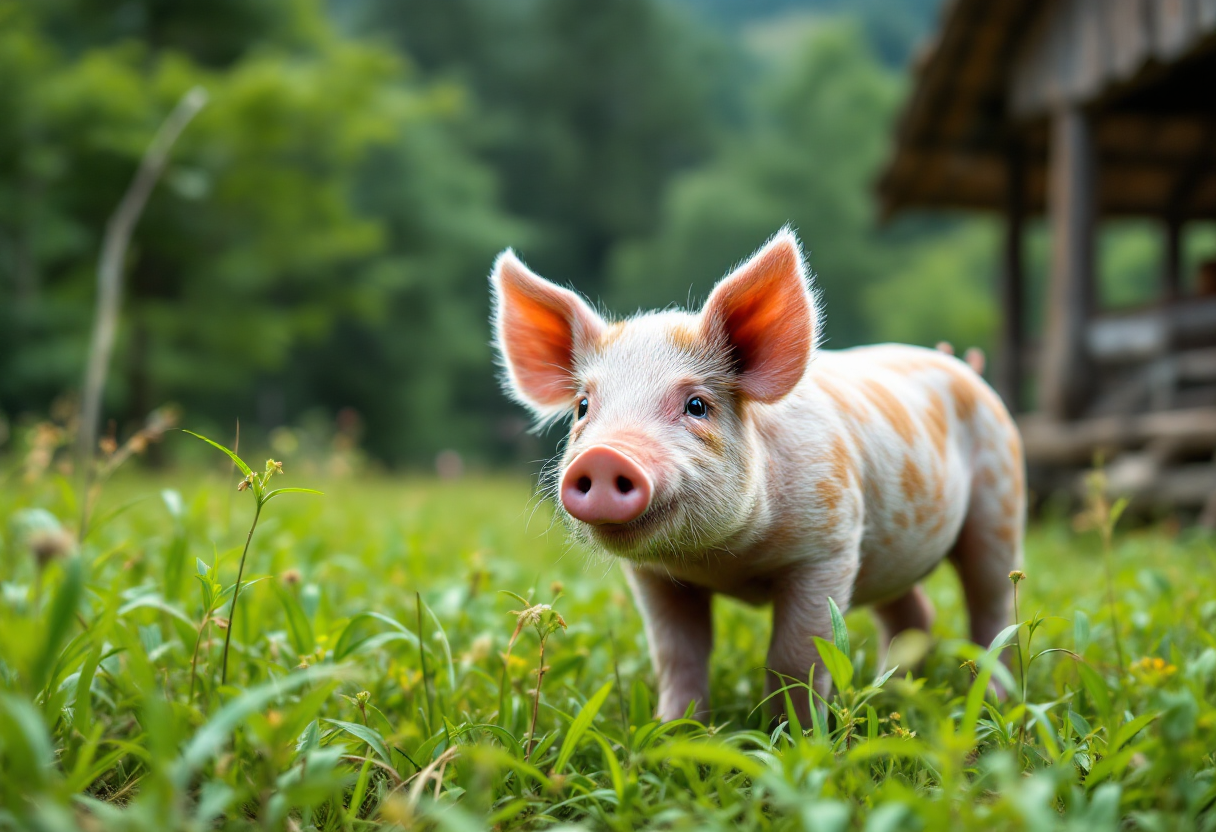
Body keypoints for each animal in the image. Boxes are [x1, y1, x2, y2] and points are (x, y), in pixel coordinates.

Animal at [488, 227, 1021, 720]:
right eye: (583, 407)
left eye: (697, 405)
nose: (604, 455)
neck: (724, 560)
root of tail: (962, 365)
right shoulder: (653, 576)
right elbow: (677, 654)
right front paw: (673, 730)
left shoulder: (829, 544)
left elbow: (795, 657)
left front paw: (794, 736)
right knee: (913, 613)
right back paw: (893, 690)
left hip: (1000, 498)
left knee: (993, 609)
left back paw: (992, 699)